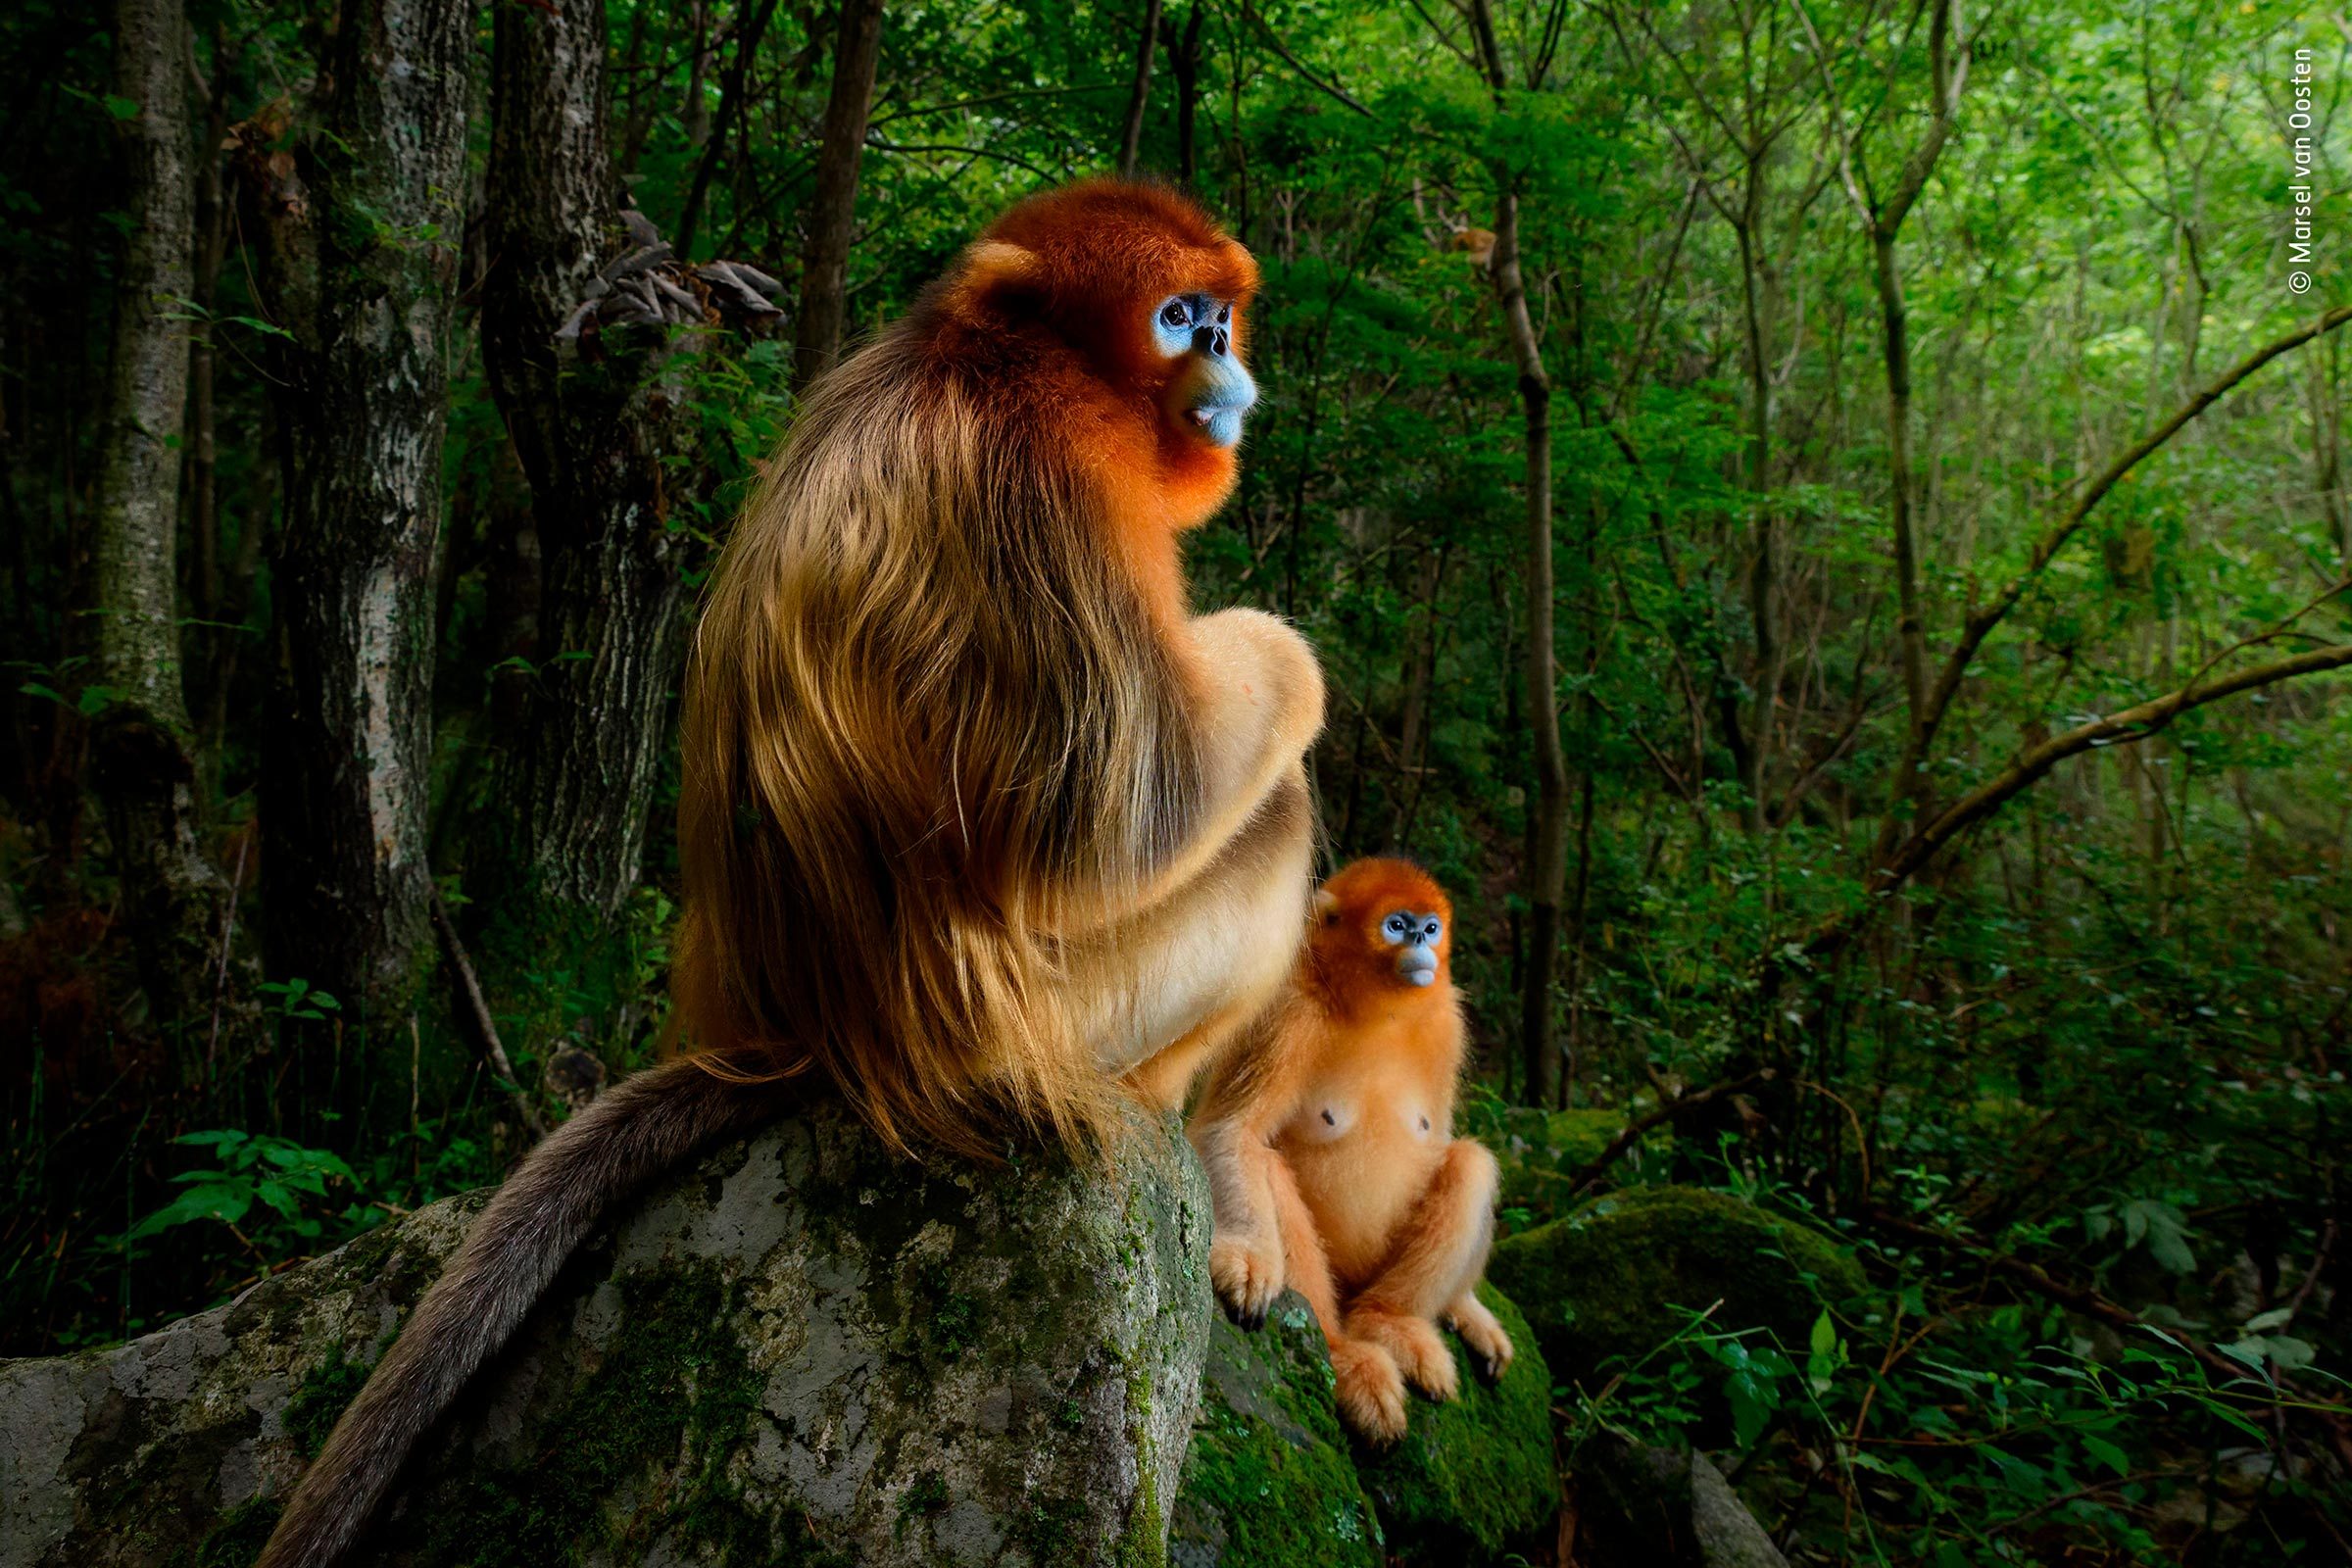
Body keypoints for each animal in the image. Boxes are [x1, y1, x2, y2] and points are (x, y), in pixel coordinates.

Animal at [256, 180, 1322, 1568]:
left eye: (1219, 314)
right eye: (1178, 317)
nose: (1226, 355)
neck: (981, 358)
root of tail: (804, 1038)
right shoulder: (1049, 470)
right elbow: (1125, 814)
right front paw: (1284, 652)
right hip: (1062, 1014)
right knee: (1270, 810)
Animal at [1189, 858, 1513, 1443]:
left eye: (1431, 927)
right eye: (1396, 925)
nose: (1421, 942)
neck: (1378, 1014)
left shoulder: (1446, 1023)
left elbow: (1441, 1140)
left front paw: (1468, 1308)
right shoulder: (1288, 1012)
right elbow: (1231, 1131)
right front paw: (1247, 1257)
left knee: (1471, 1162)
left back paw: (1392, 1322)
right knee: (1268, 1167)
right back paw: (1344, 1355)